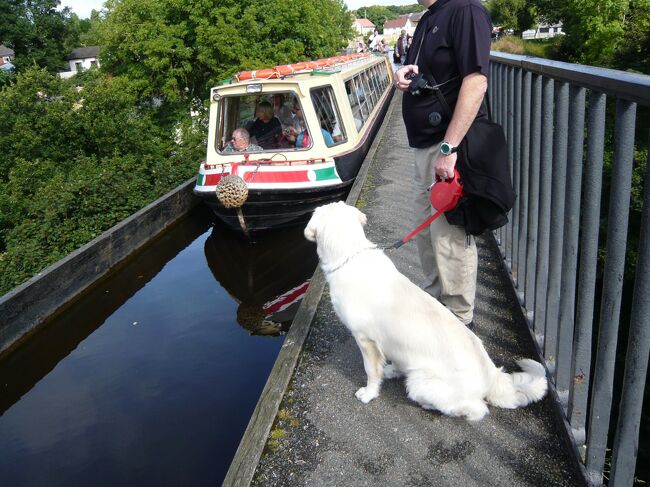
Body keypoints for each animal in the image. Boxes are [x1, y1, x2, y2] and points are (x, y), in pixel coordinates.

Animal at [306, 202, 548, 424]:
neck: (349, 254)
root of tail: (492, 374)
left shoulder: (366, 340)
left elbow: (371, 372)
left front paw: (368, 394)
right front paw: (388, 371)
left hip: (421, 383)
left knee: (477, 410)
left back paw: (430, 404)